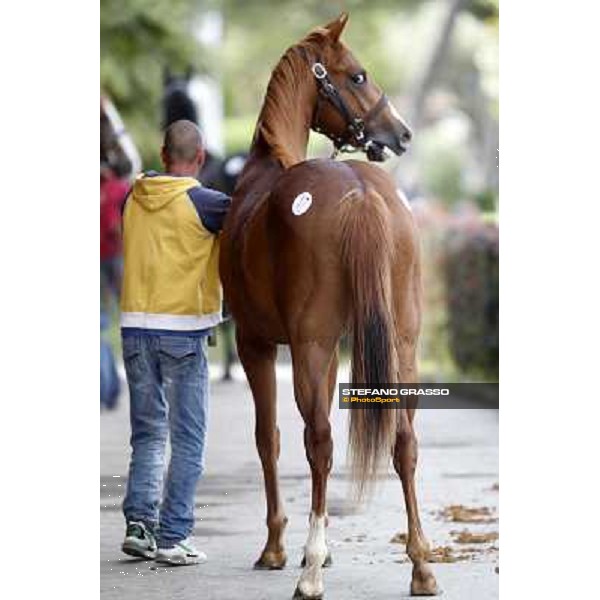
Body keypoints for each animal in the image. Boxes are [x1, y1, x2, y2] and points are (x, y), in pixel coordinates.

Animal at [218, 14, 438, 600]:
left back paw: (311, 570)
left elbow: (267, 438)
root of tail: (359, 189)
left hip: (311, 347)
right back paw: (422, 566)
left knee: (318, 441)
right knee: (405, 441)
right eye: (357, 75)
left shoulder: (255, 344)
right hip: (404, 344)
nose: (402, 133)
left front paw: (276, 548)